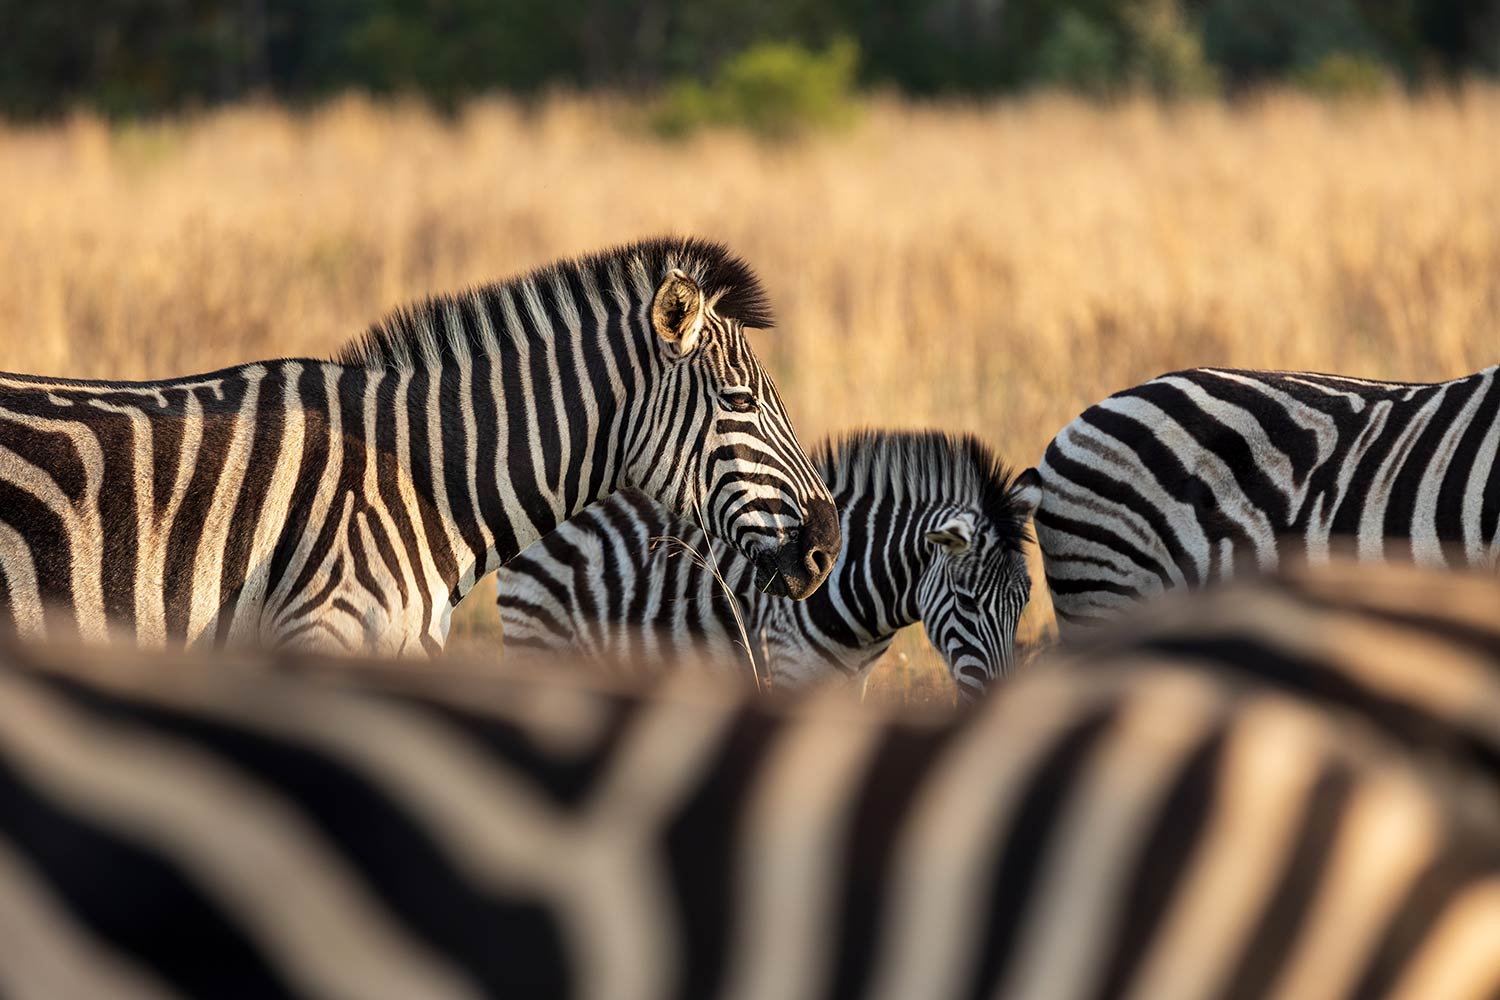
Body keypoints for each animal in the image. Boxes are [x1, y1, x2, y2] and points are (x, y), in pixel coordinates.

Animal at [497, 430, 1042, 702]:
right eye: (967, 602)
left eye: (1024, 603)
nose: (998, 707)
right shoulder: (787, 666)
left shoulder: (851, 682)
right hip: (538, 632)